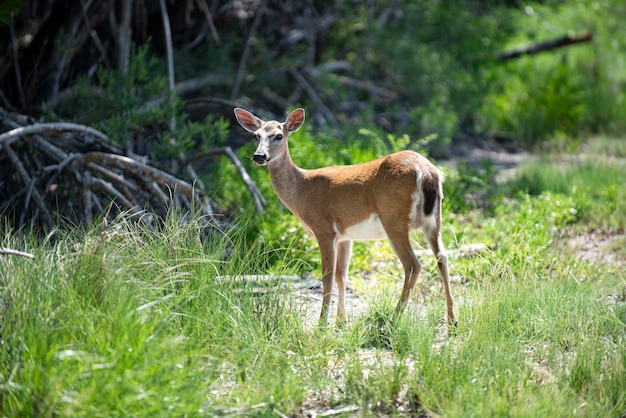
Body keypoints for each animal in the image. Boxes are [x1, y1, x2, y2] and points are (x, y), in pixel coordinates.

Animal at [233, 107, 454, 326]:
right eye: (255, 136)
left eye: (279, 136)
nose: (259, 156)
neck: (301, 189)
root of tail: (426, 172)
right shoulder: (345, 236)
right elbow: (342, 276)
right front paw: (340, 320)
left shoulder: (323, 229)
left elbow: (327, 277)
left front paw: (322, 324)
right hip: (433, 220)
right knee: (442, 256)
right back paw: (452, 320)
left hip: (394, 220)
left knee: (413, 264)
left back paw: (395, 316)